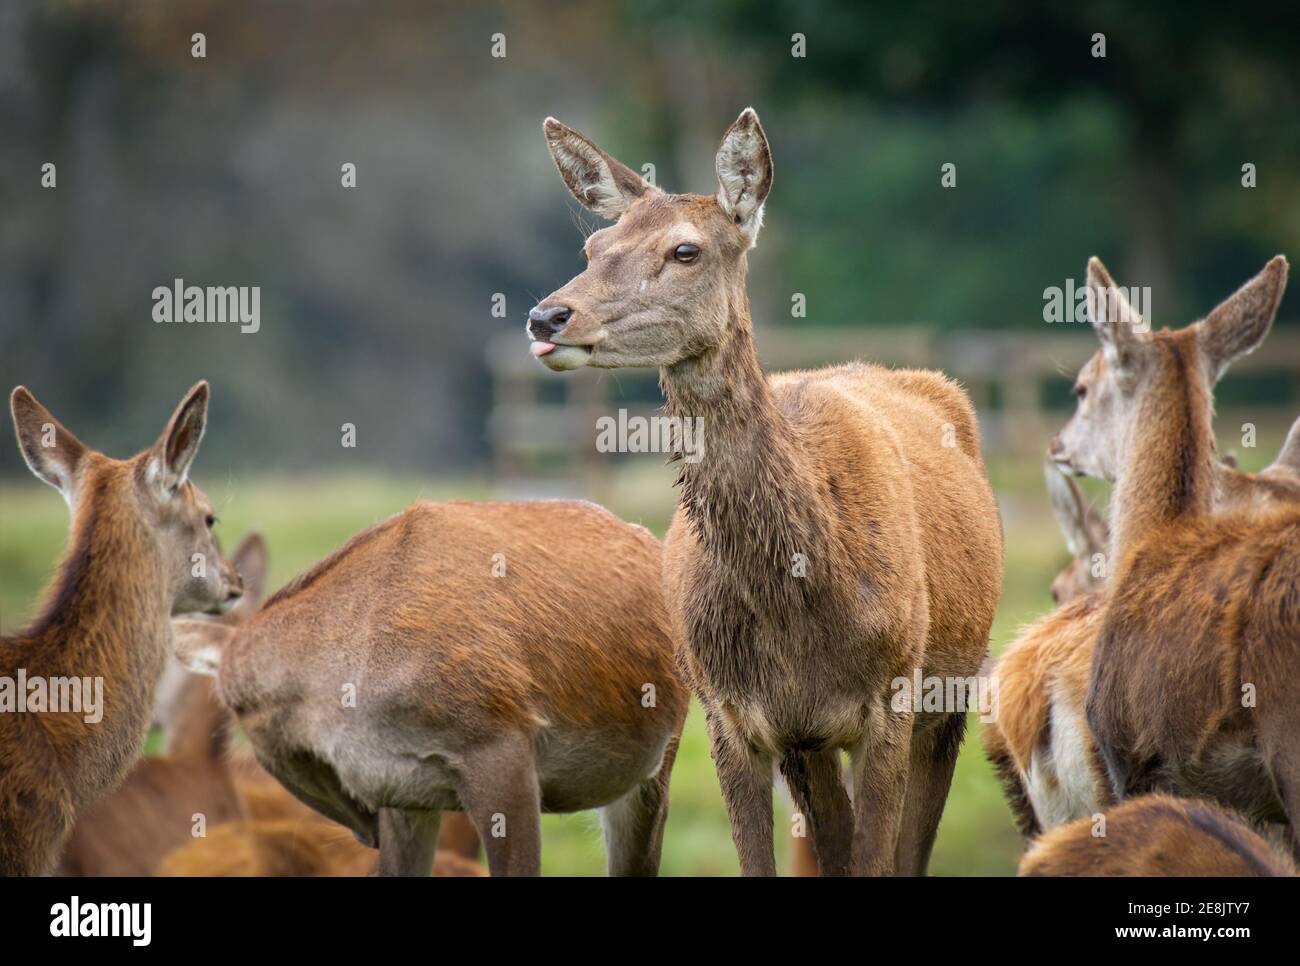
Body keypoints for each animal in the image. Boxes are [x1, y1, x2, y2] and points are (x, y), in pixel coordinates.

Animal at [527, 107, 1003, 878]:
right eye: (594, 244)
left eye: (685, 250)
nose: (547, 317)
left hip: (952, 692)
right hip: (811, 747)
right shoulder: (735, 718)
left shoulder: (893, 702)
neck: (801, 597)